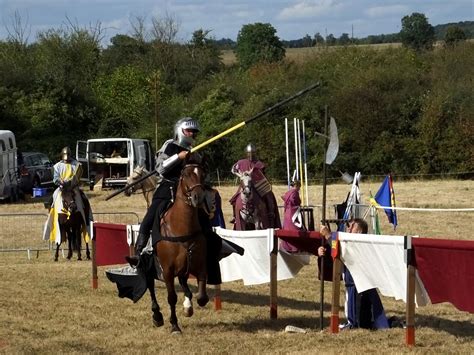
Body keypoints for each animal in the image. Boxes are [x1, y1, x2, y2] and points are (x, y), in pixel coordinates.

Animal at [147, 161, 208, 334]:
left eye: (202, 174)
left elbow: (202, 297)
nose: (198, 197)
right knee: (150, 286)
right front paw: (174, 325)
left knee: (184, 284)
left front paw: (188, 308)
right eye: (185, 175)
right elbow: (171, 297)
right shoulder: (167, 270)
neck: (182, 227)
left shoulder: (200, 265)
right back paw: (157, 315)